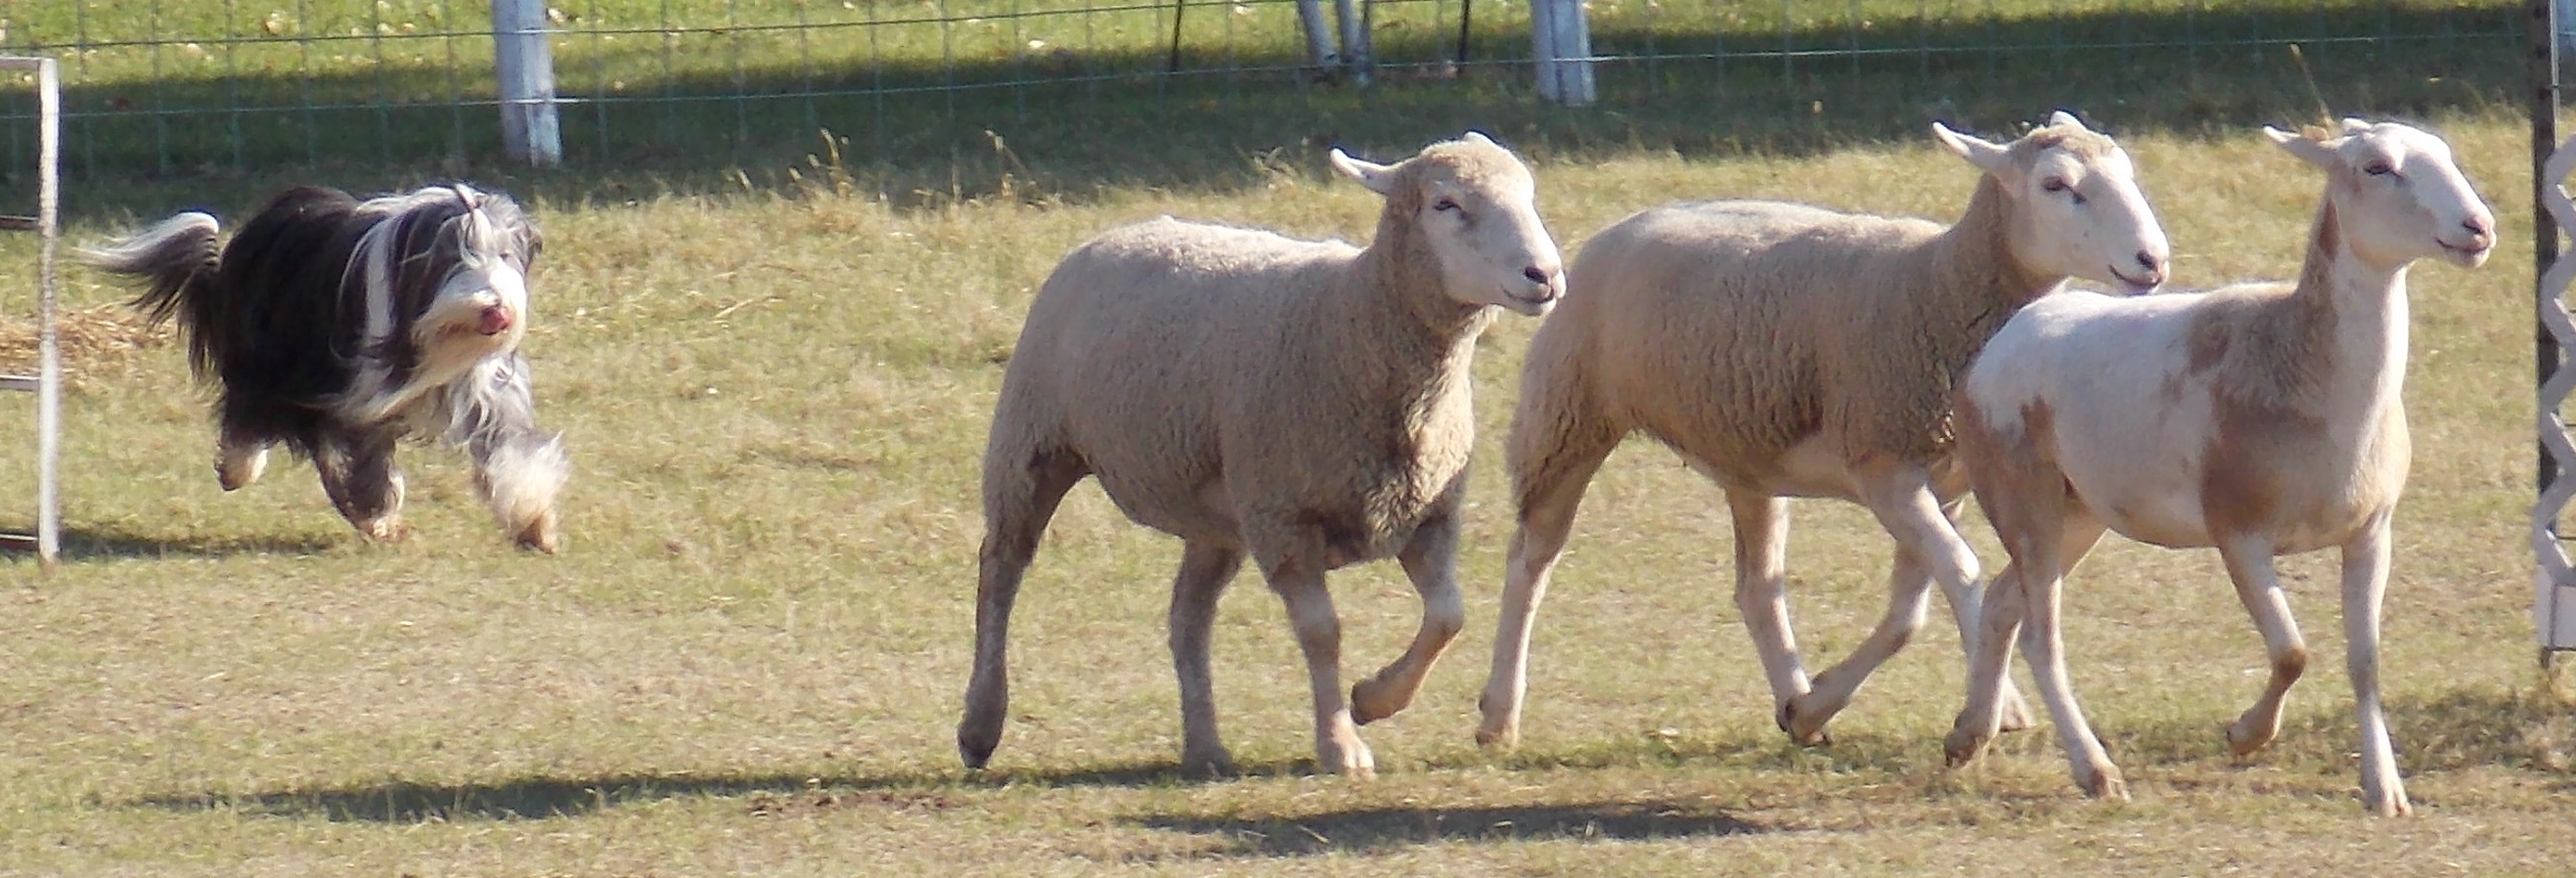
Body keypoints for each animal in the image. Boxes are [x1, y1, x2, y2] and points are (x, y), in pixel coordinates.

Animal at [85, 184, 569, 550]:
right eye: (452, 257)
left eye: (504, 255)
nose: (495, 309)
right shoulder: (356, 398)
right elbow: (365, 464)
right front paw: (380, 518)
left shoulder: (486, 387)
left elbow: (511, 451)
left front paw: (534, 523)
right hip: (271, 362)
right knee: (253, 418)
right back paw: (240, 469)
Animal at [963, 129, 1566, 772]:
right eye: (1445, 204)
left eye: (1528, 194)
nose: (1546, 274)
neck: (1356, 322)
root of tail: (1127, 228)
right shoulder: (1285, 519)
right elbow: (1323, 633)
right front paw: (1341, 744)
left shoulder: (1426, 514)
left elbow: (1449, 615)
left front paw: (1375, 699)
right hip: (1031, 443)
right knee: (1000, 572)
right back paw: (980, 725)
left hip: (1217, 509)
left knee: (1188, 615)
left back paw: (1205, 746)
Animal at [1473, 112, 2174, 746]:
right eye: (2056, 184)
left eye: (2126, 172)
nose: (2154, 260)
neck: (1939, 281)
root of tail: (1627, 223)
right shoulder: (1885, 463)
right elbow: (1962, 574)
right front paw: (1997, 708)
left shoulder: (1941, 479)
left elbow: (1911, 608)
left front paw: (1820, 705)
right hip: (1569, 414)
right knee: (1531, 560)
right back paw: (1498, 715)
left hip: (1748, 451)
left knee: (1758, 589)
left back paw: (1796, 703)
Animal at [1947, 117, 2493, 813]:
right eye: (2376, 167)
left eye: (2444, 153)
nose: (2477, 227)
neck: (2303, 365)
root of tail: (2009, 334)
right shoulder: (2239, 532)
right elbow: (2292, 653)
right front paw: (2245, 736)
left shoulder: (2372, 532)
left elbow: (2365, 661)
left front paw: (2385, 789)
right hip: (2023, 497)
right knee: (2043, 636)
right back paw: (2096, 771)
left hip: (2080, 512)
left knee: (1999, 602)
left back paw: (1967, 738)